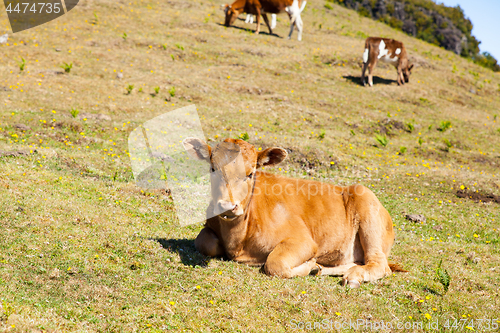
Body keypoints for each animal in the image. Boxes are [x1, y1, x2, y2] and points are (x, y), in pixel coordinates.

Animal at [182, 136, 404, 286]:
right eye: (212, 169)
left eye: (250, 173)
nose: (228, 206)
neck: (237, 239)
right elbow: (204, 241)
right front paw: (314, 267)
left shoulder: (303, 241)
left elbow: (275, 263)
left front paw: (309, 265)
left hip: (368, 210)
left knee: (379, 264)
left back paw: (353, 276)